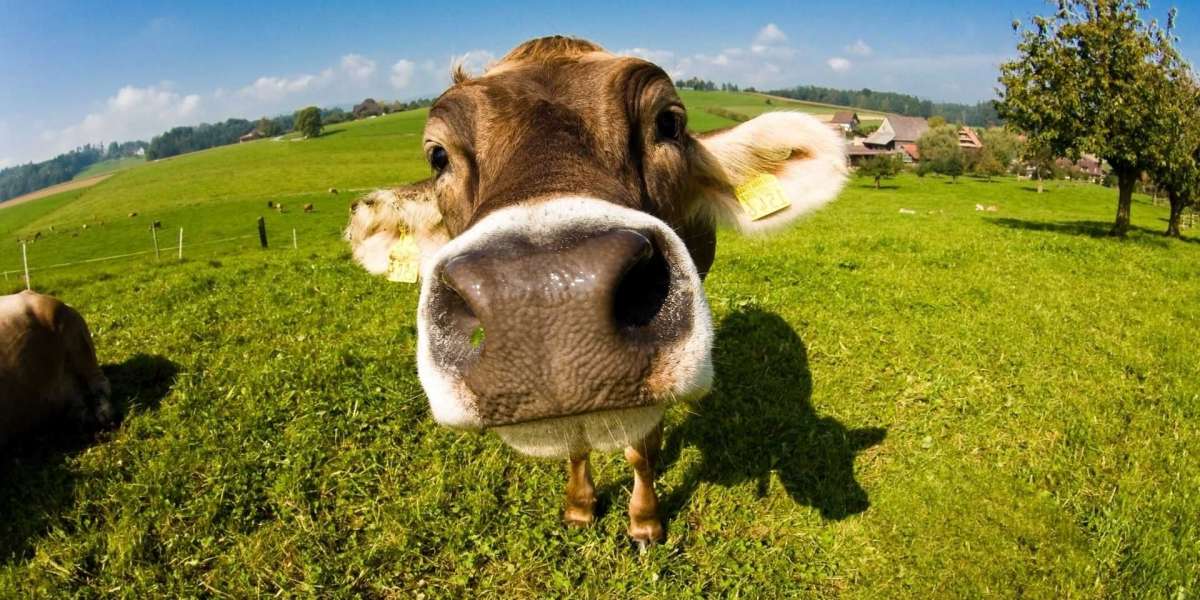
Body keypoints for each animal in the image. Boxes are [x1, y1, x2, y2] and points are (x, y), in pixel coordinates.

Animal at [344, 36, 846, 545]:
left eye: (669, 122)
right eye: (438, 156)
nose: (544, 295)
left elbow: (642, 449)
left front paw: (645, 521)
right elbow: (576, 444)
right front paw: (580, 506)